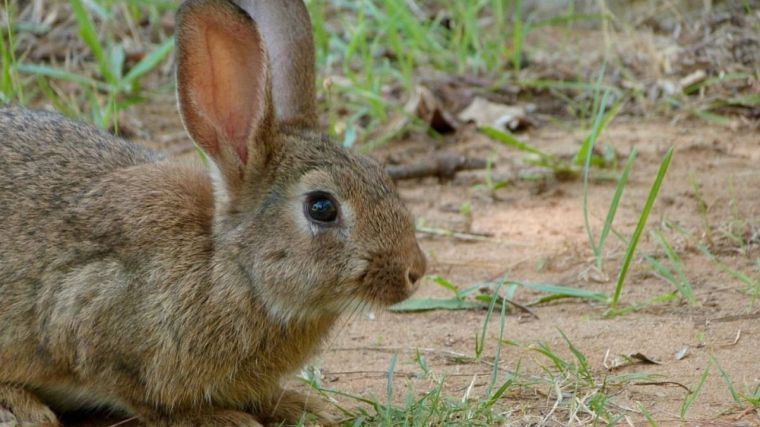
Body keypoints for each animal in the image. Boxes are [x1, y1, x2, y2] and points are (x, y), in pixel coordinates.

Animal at [0, 0, 428, 426]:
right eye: (322, 207)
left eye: (378, 171)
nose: (415, 270)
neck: (232, 267)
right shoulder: (88, 315)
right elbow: (146, 400)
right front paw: (224, 418)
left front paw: (304, 407)